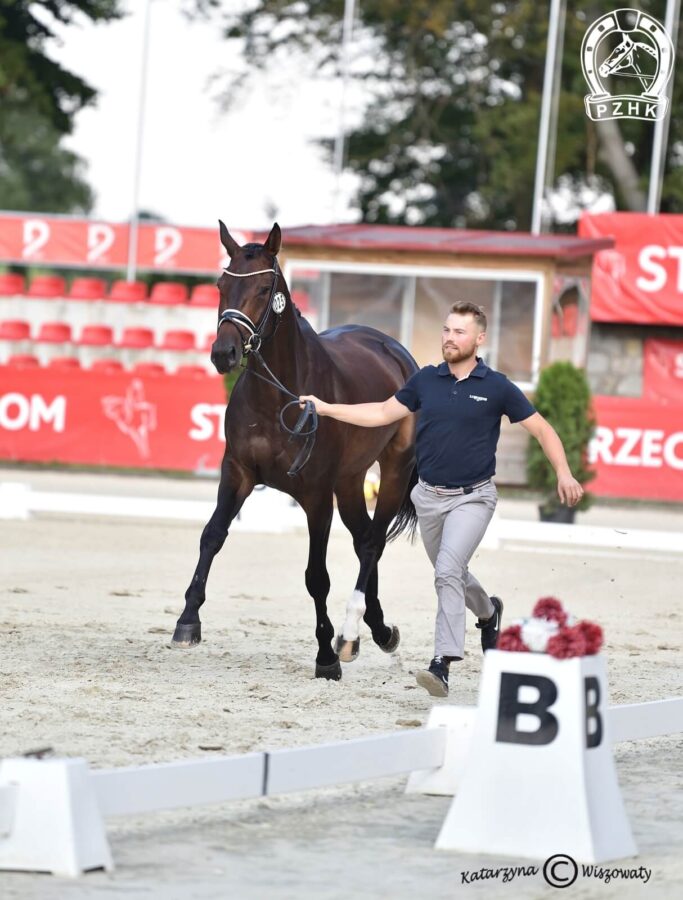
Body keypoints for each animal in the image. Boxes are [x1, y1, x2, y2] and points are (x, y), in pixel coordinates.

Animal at [172, 221, 416, 680]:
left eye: (264, 288)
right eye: (221, 285)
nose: (223, 353)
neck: (278, 398)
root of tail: (392, 349)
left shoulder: (317, 496)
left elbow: (316, 576)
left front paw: (325, 657)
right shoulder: (237, 473)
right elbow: (212, 536)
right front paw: (187, 622)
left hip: (392, 470)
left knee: (373, 543)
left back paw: (352, 636)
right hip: (351, 481)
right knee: (363, 540)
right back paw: (375, 629)